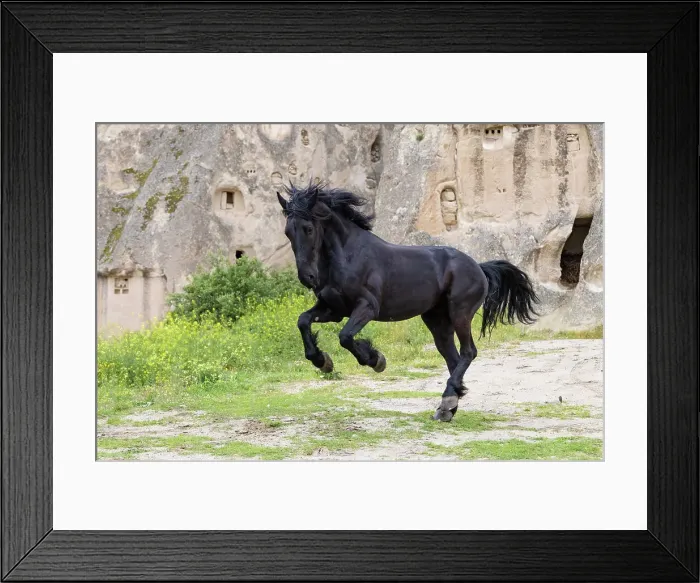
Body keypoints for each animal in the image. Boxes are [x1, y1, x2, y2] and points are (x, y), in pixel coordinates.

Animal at [276, 181, 540, 422]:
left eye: (309, 229)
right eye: (288, 232)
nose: (308, 278)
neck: (348, 256)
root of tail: (478, 267)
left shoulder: (366, 308)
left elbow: (346, 337)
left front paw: (375, 360)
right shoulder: (333, 309)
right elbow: (303, 321)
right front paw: (323, 361)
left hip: (460, 313)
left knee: (468, 352)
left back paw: (448, 401)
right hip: (436, 320)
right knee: (453, 358)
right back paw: (448, 407)